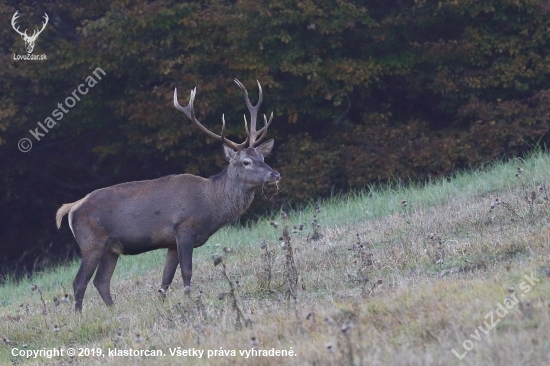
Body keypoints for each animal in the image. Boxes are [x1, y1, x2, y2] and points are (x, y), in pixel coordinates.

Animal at [55, 79, 280, 312]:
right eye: (246, 162)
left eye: (263, 157)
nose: (275, 174)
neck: (210, 204)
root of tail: (72, 207)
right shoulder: (184, 229)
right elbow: (186, 273)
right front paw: (191, 301)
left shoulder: (171, 242)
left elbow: (166, 280)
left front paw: (165, 305)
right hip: (91, 243)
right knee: (79, 282)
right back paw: (79, 315)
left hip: (111, 248)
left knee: (101, 281)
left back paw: (113, 310)